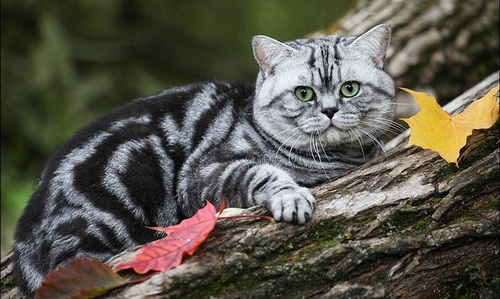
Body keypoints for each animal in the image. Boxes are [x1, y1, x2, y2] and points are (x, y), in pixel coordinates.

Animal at [12, 24, 394, 298]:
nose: (329, 111)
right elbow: (262, 173)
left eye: (349, 89)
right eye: (304, 93)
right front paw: (292, 196)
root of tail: (23, 240)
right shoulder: (203, 171)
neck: (336, 157)